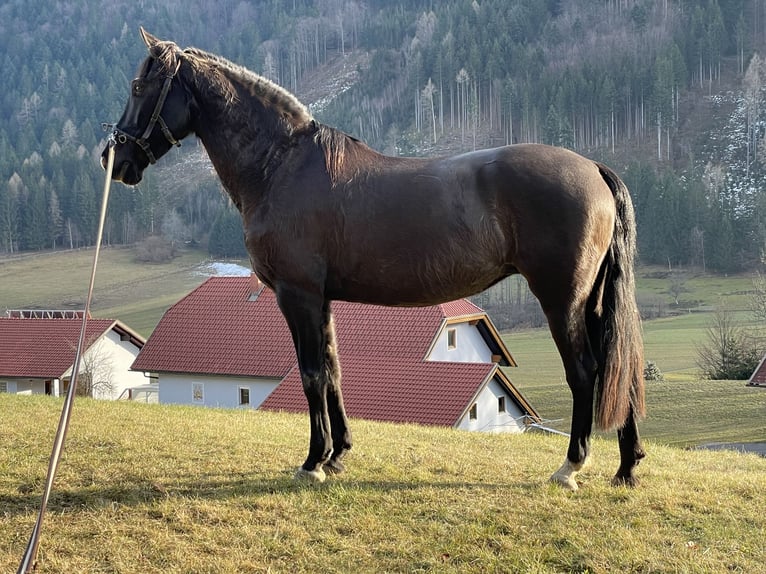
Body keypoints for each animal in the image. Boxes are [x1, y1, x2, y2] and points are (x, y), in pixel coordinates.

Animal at [103, 30, 648, 490]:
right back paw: (626, 467)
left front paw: (312, 462)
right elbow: (333, 370)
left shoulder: (297, 295)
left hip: (562, 300)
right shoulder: (321, 300)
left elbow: (311, 374)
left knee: (586, 370)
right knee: (619, 367)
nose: (115, 159)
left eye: (138, 86)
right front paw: (337, 454)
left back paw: (571, 467)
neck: (282, 165)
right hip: (592, 300)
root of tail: (593, 168)